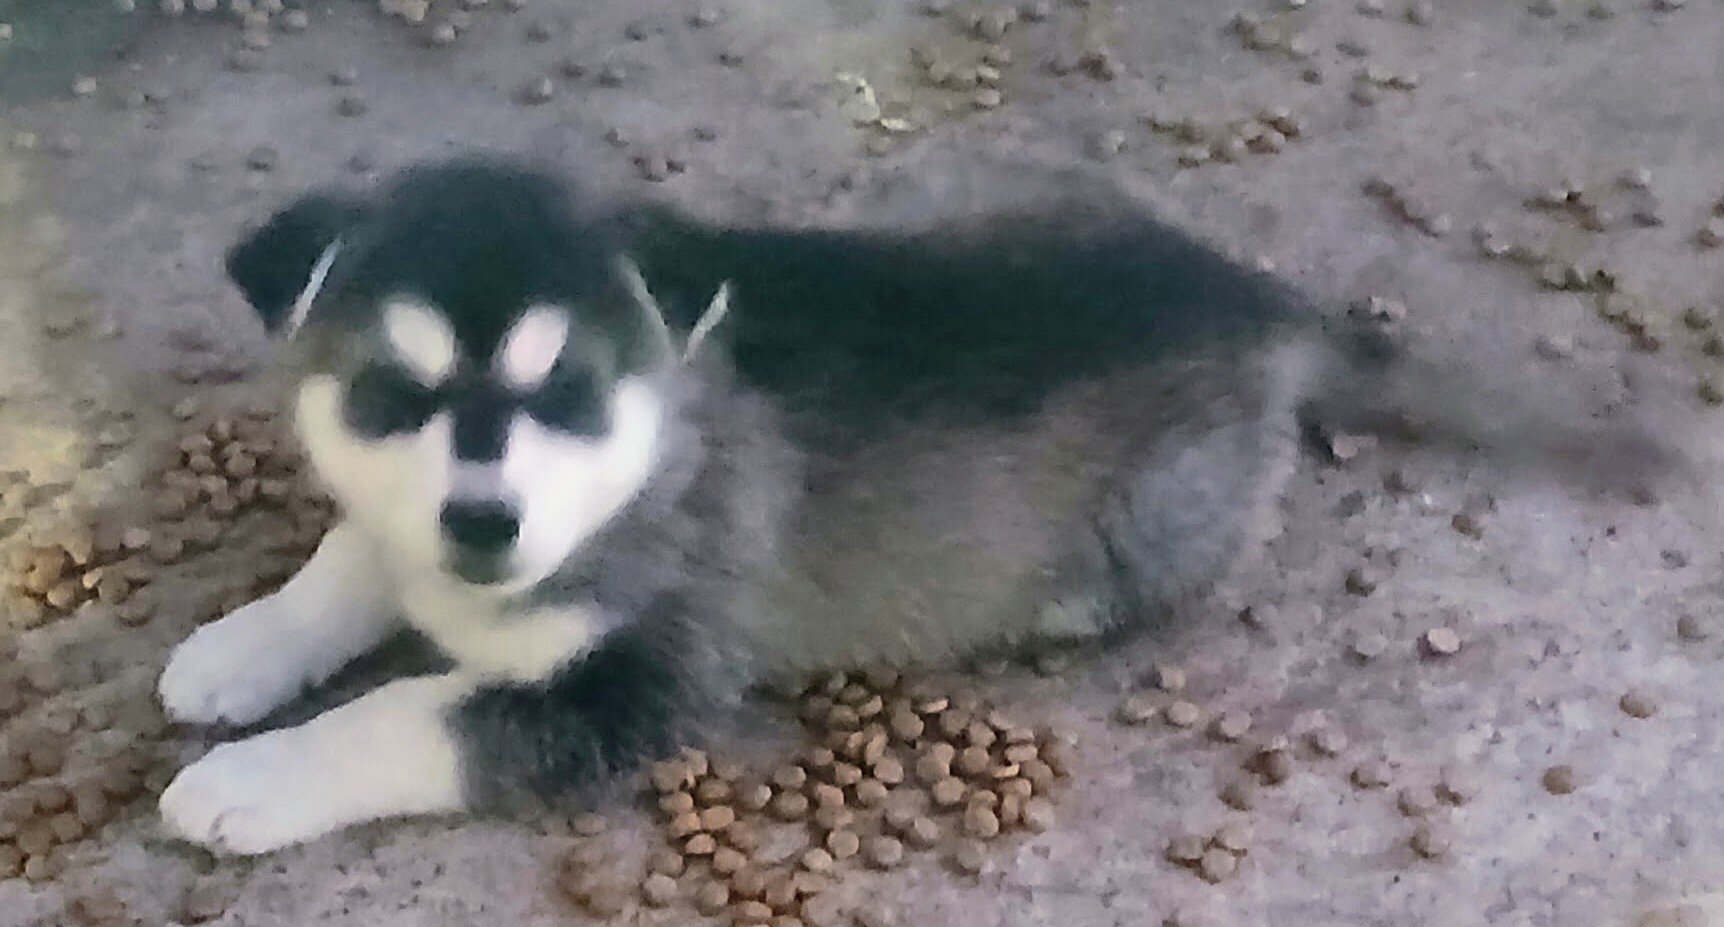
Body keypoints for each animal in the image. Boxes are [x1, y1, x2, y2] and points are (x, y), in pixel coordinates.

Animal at [153, 157, 1674, 855]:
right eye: (391, 394)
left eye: (570, 392)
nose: (483, 525)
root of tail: (1256, 301)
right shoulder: (409, 523)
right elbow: (352, 557)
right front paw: (238, 648)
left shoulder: (646, 679)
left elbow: (410, 713)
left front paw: (248, 780)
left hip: (1157, 515)